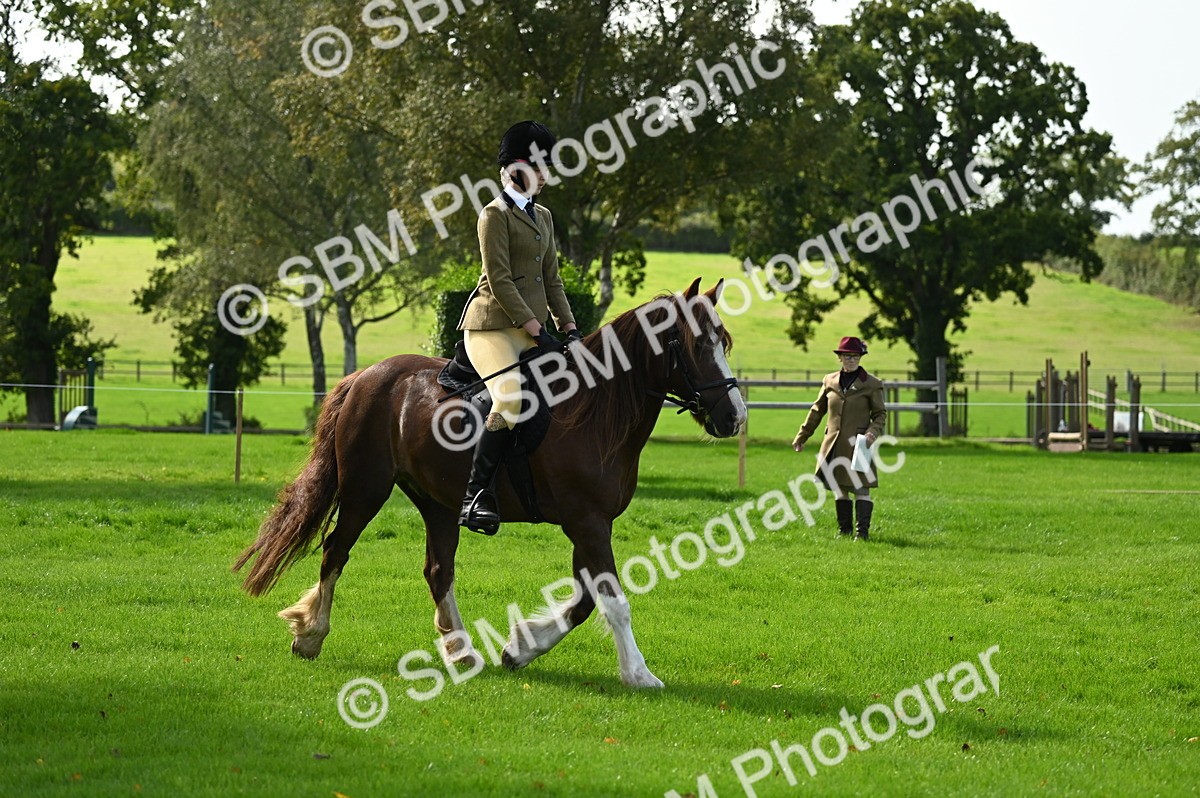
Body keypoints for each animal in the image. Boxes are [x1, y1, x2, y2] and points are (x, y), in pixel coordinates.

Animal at [232, 278, 747, 688]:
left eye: (724, 341)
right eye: (696, 345)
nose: (734, 417)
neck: (595, 410)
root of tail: (365, 376)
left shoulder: (591, 523)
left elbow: (584, 601)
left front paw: (520, 647)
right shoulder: (587, 522)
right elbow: (612, 601)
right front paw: (638, 673)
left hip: (438, 503)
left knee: (438, 570)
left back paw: (461, 651)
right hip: (365, 490)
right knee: (335, 551)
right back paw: (311, 635)